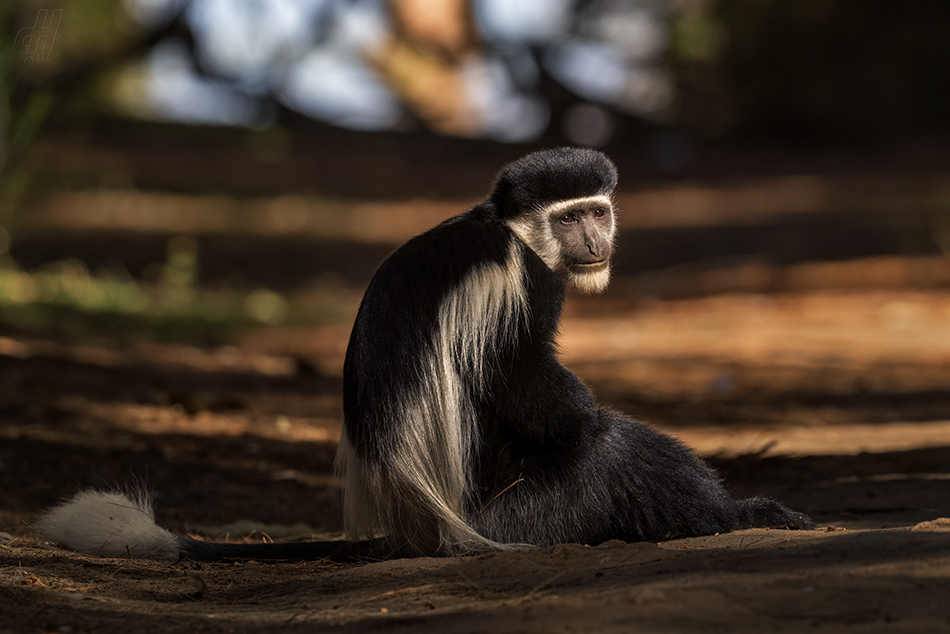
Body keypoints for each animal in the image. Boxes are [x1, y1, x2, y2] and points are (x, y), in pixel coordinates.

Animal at [35, 147, 812, 556]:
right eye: (570, 219)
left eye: (597, 210)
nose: (596, 240)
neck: (511, 229)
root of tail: (417, 526)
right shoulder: (516, 281)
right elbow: (525, 382)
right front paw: (590, 419)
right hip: (519, 518)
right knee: (606, 456)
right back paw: (744, 513)